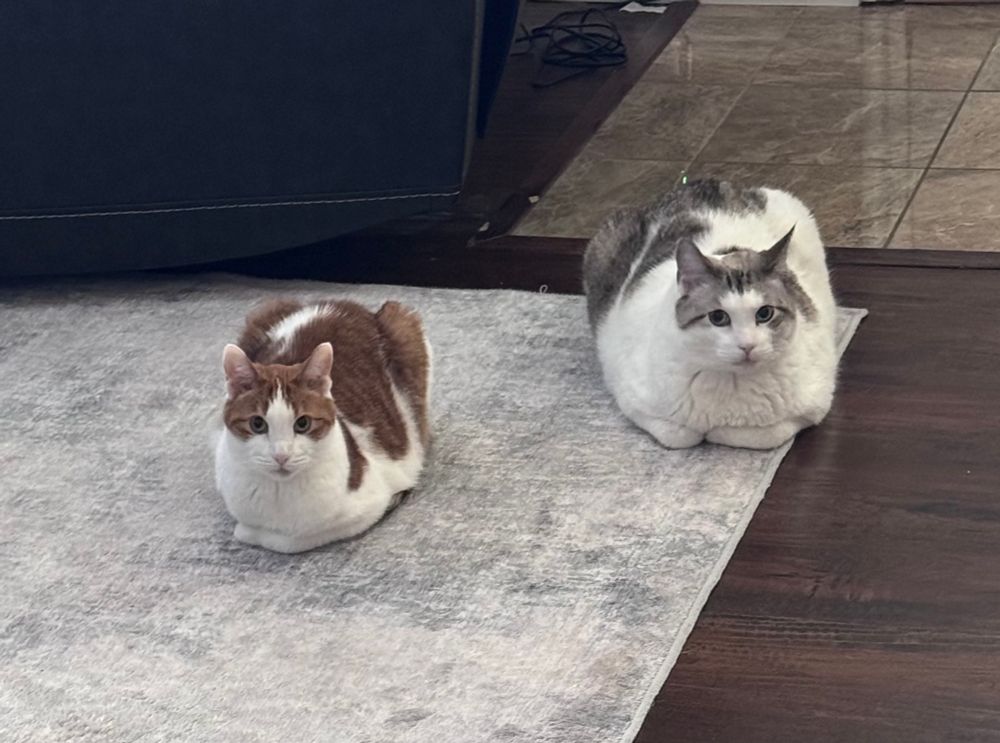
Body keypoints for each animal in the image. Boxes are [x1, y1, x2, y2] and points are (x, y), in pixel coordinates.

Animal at [214, 298, 431, 553]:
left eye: (303, 423)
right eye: (257, 424)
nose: (281, 456)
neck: (279, 495)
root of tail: (338, 303)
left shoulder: (369, 504)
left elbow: (287, 539)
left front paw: (253, 532)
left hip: (406, 327)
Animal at [583, 179, 837, 450]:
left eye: (765, 313)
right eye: (718, 318)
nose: (747, 345)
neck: (732, 382)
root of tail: (704, 183)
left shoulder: (814, 403)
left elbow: (758, 434)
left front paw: (719, 431)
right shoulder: (632, 399)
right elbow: (679, 435)